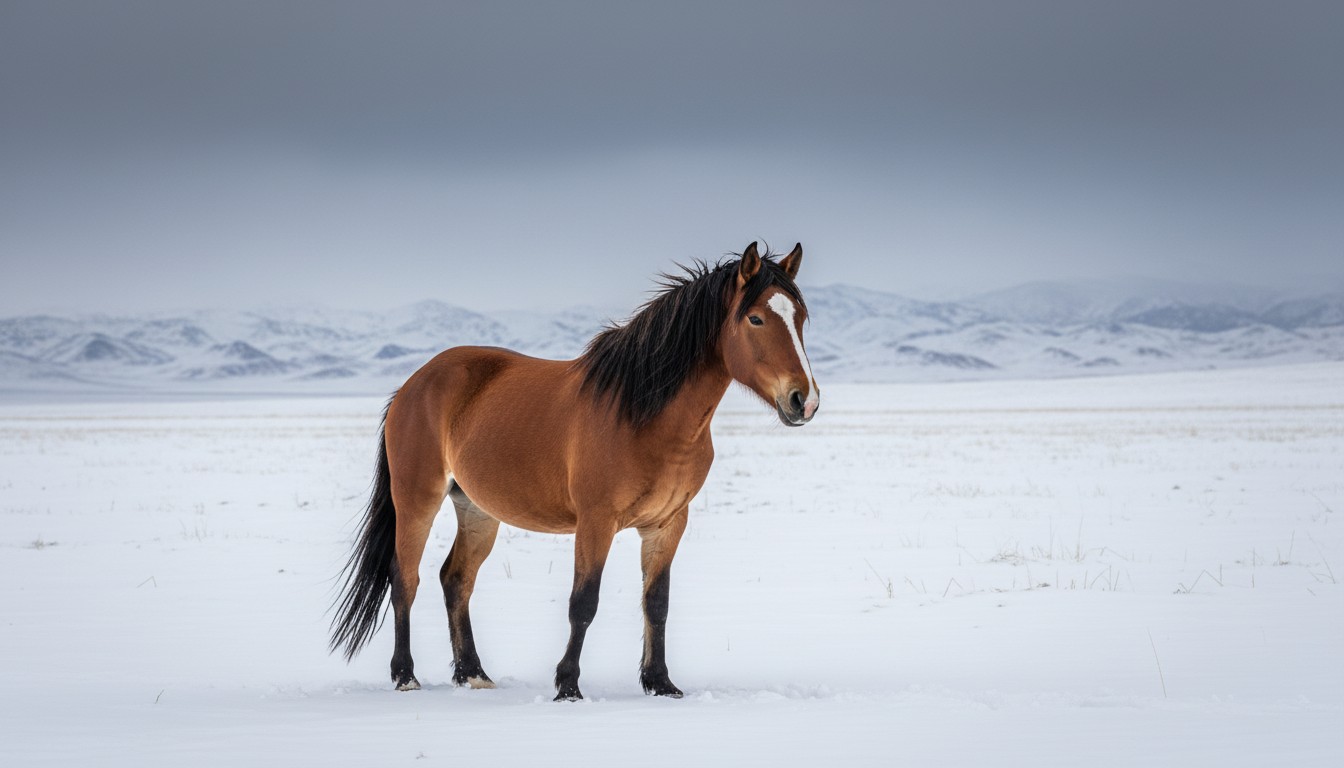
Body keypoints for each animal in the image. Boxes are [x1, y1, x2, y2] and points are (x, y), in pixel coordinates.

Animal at [330, 242, 820, 701]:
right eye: (755, 319)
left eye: (800, 317)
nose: (804, 400)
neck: (644, 415)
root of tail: (412, 385)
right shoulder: (596, 521)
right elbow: (584, 603)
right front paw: (567, 686)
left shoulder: (667, 524)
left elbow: (656, 603)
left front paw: (660, 683)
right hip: (417, 500)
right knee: (404, 578)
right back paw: (405, 676)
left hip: (477, 509)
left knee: (456, 579)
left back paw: (473, 674)